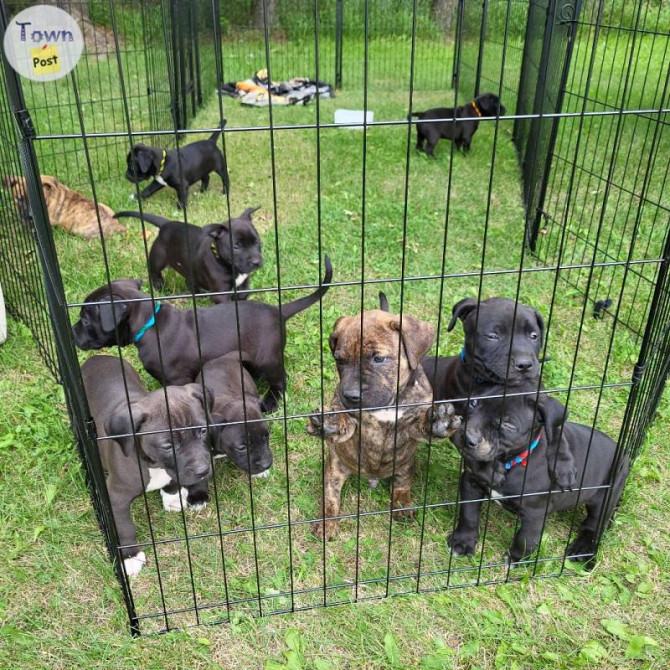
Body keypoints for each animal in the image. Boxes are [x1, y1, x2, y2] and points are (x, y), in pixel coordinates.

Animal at [71, 258, 334, 414]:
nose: (73, 333)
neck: (150, 323)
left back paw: (269, 403)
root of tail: (278, 310)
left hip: (267, 358)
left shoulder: (178, 377)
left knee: (280, 381)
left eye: (85, 319)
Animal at [82, 356, 213, 576]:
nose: (203, 470)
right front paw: (130, 557)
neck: (154, 465)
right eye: (167, 445)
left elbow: (172, 482)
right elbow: (125, 528)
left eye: (203, 431)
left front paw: (172, 498)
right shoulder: (116, 497)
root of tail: (96, 357)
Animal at [115, 206, 262, 304]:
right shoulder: (221, 293)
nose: (256, 262)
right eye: (236, 246)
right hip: (158, 259)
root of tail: (167, 224)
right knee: (155, 274)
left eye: (256, 241)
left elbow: (243, 295)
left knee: (189, 281)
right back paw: (162, 289)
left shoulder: (244, 283)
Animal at [308, 310, 462, 540]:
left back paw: (403, 506)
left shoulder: (413, 425)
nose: (351, 396)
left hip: (406, 465)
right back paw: (327, 522)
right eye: (340, 361)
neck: (390, 403)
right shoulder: (350, 420)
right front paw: (330, 422)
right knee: (331, 497)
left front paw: (438, 422)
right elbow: (345, 423)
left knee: (401, 486)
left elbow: (422, 426)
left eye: (378, 359)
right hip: (335, 467)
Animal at [448, 388, 632, 568]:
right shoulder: (471, 483)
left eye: (508, 425)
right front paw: (462, 542)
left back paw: (582, 549)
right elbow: (468, 515)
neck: (509, 462)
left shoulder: (534, 511)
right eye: (473, 403)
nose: (467, 438)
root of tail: (623, 453)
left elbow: (526, 537)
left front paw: (516, 559)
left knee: (595, 524)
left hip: (606, 495)